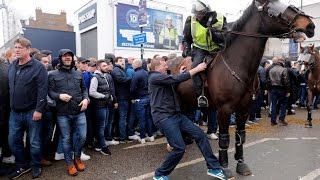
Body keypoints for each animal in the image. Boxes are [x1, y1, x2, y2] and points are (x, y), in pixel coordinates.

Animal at [170, 0, 316, 179]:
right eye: (273, 12)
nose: (310, 26)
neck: (237, 64)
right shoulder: (224, 110)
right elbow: (224, 138)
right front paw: (224, 167)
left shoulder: (244, 108)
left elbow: (241, 136)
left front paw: (241, 163)